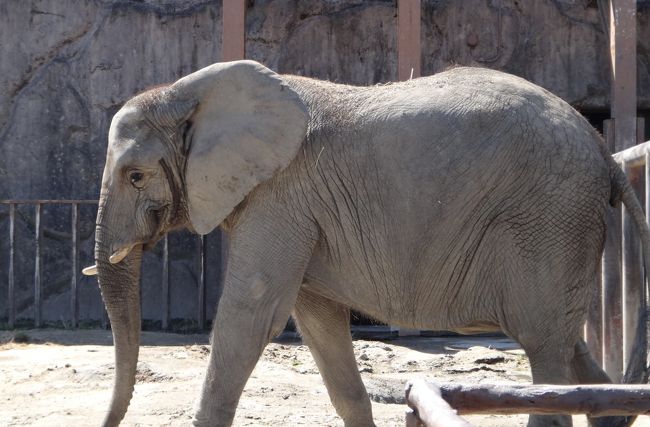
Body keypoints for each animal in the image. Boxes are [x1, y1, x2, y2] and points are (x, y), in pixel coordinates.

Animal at [82, 61, 648, 427]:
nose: (105, 422)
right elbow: (318, 323)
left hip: (550, 218)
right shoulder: (302, 208)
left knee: (544, 349)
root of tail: (606, 152)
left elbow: (252, 315)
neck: (187, 92)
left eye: (135, 176)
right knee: (567, 346)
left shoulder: (280, 196)